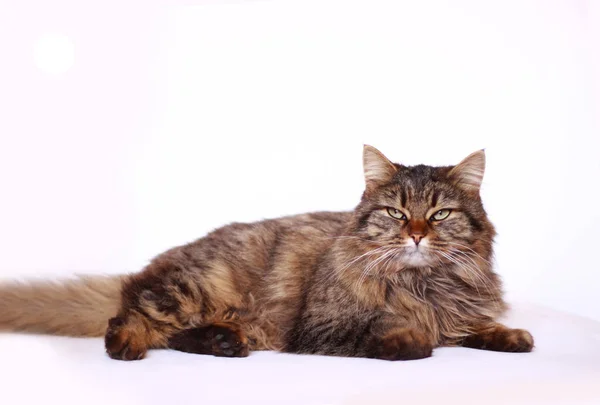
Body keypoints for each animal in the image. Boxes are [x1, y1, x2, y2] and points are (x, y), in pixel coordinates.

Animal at [0, 145, 536, 360]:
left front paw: (510, 336)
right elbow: (402, 334)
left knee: (174, 335)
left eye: (440, 214)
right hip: (192, 288)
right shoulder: (322, 327)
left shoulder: (457, 312)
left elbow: (472, 327)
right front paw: (410, 340)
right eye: (397, 213)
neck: (423, 283)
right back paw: (127, 345)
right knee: (134, 317)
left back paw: (223, 343)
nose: (419, 235)